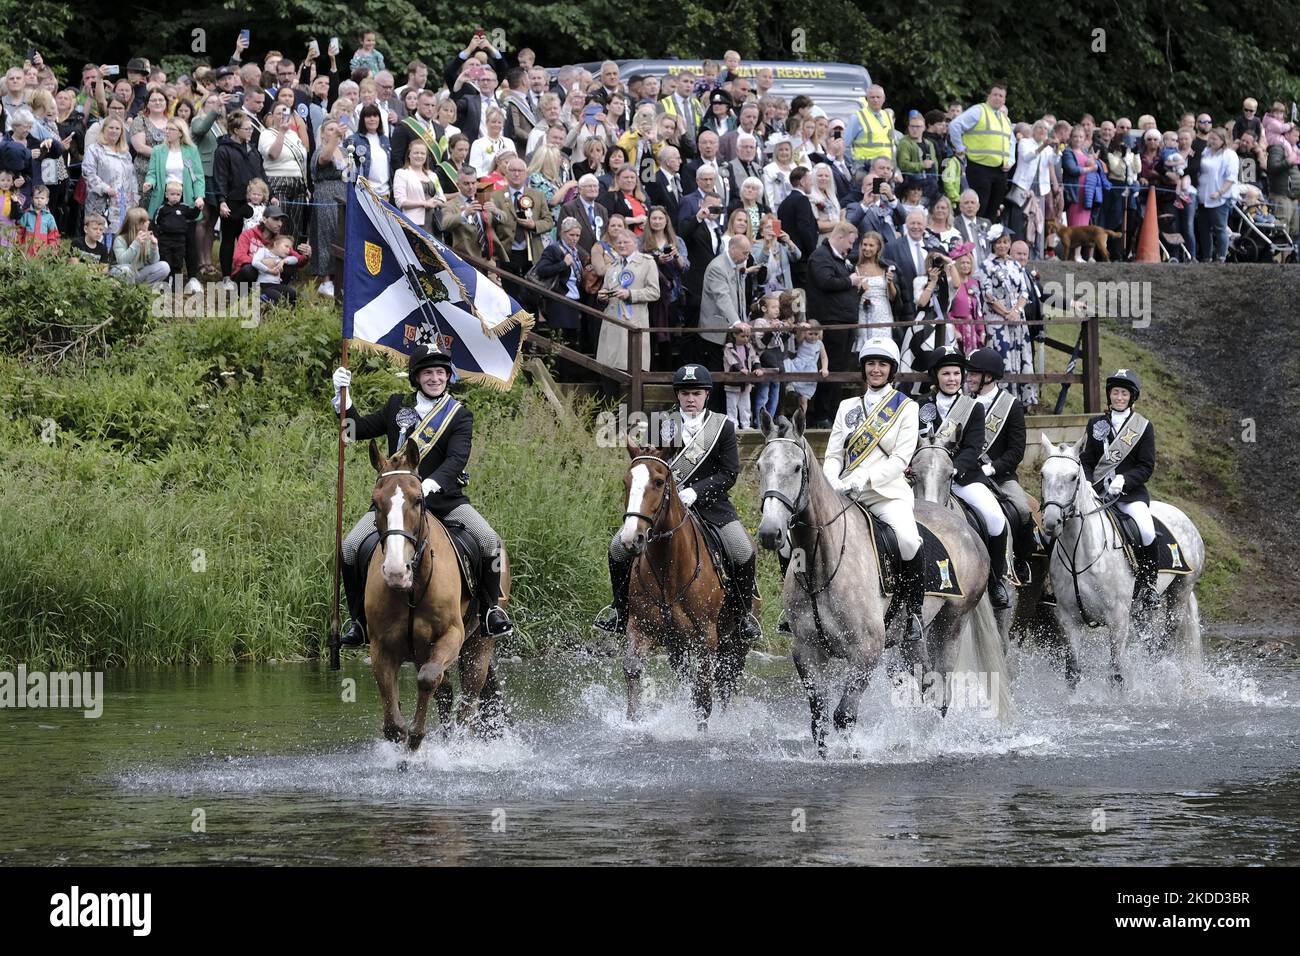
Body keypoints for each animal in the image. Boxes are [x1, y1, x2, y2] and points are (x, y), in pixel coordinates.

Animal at [366, 437, 512, 749]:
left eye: (418, 500)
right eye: (375, 503)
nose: (396, 571)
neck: (412, 588)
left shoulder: (452, 635)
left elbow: (427, 679)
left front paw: (416, 737)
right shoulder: (381, 647)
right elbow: (392, 720)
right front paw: (405, 739)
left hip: (477, 645)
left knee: (467, 703)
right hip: (425, 650)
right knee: (445, 693)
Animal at [618, 439, 754, 733]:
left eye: (659, 482)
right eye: (627, 481)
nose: (631, 539)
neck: (668, 569)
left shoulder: (707, 636)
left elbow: (704, 694)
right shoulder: (639, 627)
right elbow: (633, 670)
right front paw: (633, 723)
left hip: (737, 643)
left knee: (727, 683)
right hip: (678, 646)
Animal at [1034, 434, 1206, 686]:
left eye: (1073, 477)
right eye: (1043, 474)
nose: (1050, 522)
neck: (1080, 554)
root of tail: (1183, 516)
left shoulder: (1117, 619)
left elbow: (1116, 674)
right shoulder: (1069, 619)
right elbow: (1072, 672)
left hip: (1180, 593)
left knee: (1164, 643)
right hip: (1141, 611)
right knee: (1150, 644)